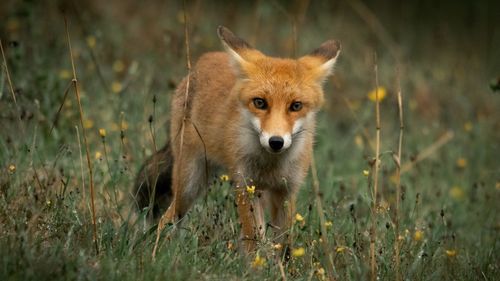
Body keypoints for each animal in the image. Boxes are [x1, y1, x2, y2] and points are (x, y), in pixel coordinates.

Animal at [135, 25, 342, 250]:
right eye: (260, 103)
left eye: (296, 106)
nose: (276, 142)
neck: (271, 166)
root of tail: (204, 60)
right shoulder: (244, 185)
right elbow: (253, 241)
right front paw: (258, 260)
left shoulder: (287, 190)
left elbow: (283, 244)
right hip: (189, 185)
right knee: (168, 218)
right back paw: (157, 250)